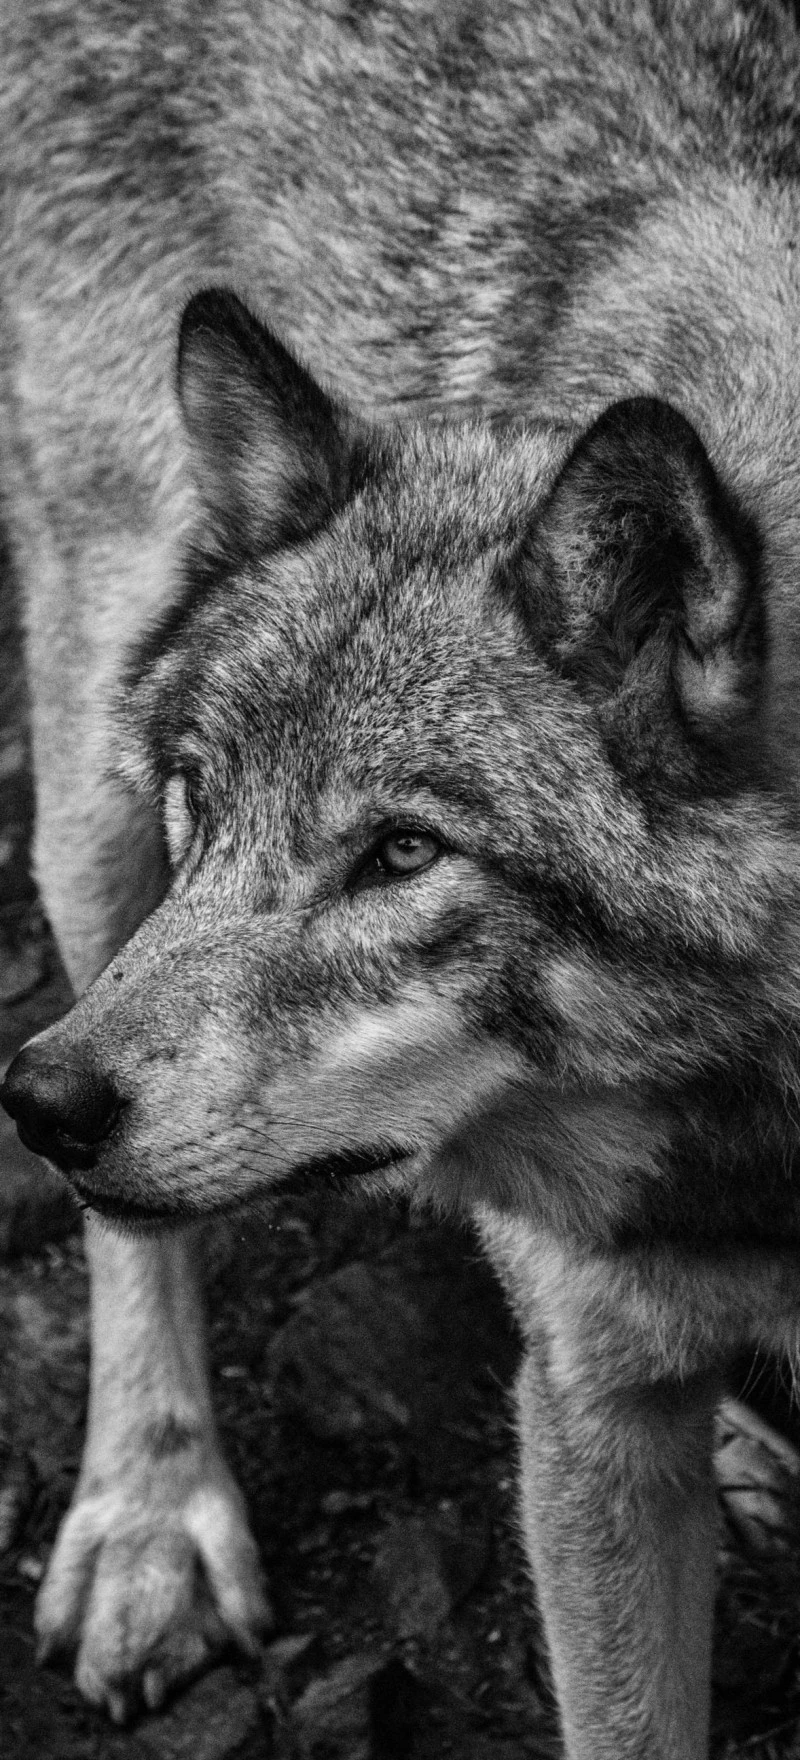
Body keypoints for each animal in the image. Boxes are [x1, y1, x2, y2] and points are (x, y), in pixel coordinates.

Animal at [2, 1, 800, 1755]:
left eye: (404, 852)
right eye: (206, 798)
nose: (40, 1105)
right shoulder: (586, 1404)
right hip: (87, 778)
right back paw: (148, 1532)